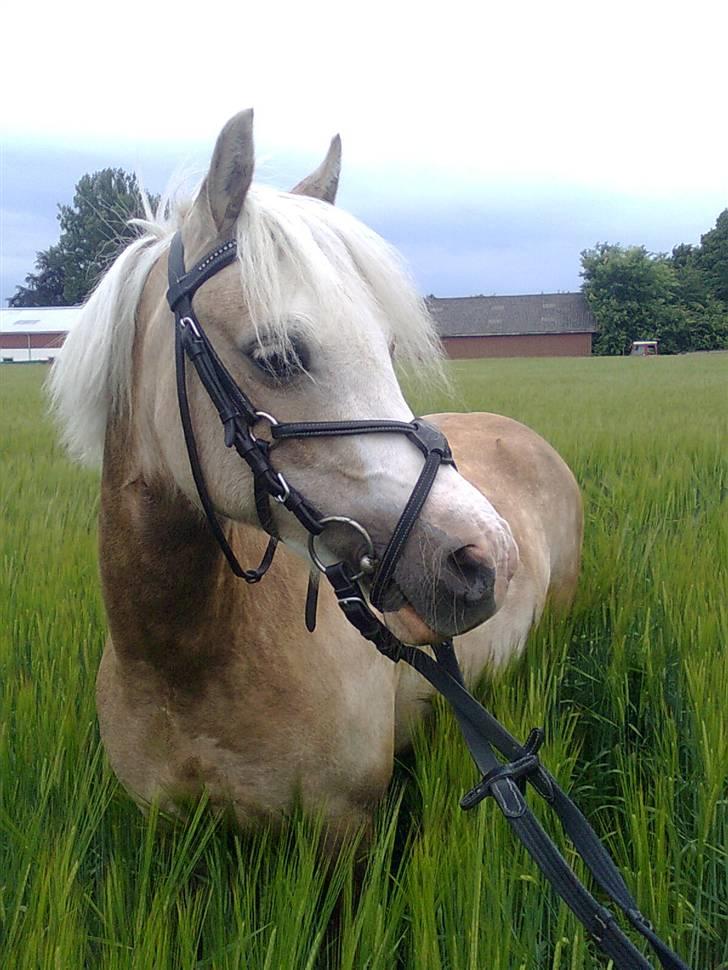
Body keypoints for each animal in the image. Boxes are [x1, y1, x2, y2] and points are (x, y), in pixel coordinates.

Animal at [48, 109, 584, 844]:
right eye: (278, 356)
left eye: (387, 349)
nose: (488, 560)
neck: (182, 665)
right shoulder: (168, 834)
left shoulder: (344, 829)